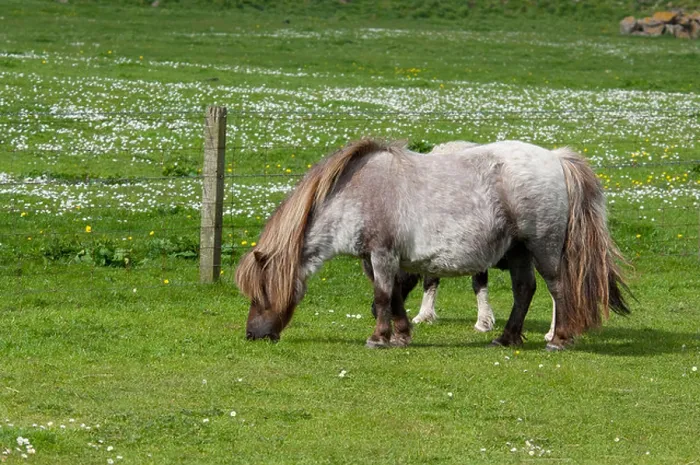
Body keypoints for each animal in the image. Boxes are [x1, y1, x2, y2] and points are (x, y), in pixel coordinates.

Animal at [235, 139, 629, 350]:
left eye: (261, 292)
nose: (253, 334)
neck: (356, 191)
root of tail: (556, 158)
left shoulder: (382, 253)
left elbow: (383, 297)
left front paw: (378, 338)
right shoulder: (377, 258)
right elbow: (394, 297)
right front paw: (401, 335)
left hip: (542, 247)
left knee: (558, 288)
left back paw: (558, 338)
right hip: (518, 251)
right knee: (524, 290)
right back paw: (506, 338)